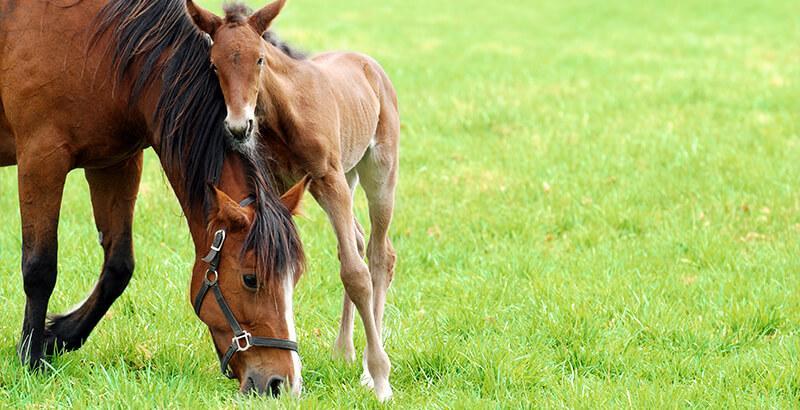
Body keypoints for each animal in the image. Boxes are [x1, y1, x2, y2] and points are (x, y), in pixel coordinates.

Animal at [0, 0, 310, 398]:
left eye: (294, 278)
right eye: (250, 279)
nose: (282, 383)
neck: (107, 47)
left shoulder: (116, 162)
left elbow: (118, 266)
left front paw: (59, 335)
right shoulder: (42, 158)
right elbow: (40, 267)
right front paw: (32, 356)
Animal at [187, 0, 400, 400]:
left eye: (259, 59)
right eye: (213, 64)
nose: (239, 126)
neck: (285, 109)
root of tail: (370, 65)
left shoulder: (329, 176)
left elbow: (356, 274)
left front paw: (381, 380)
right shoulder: (283, 184)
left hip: (378, 170)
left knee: (379, 254)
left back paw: (368, 368)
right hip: (342, 178)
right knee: (357, 241)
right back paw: (343, 350)